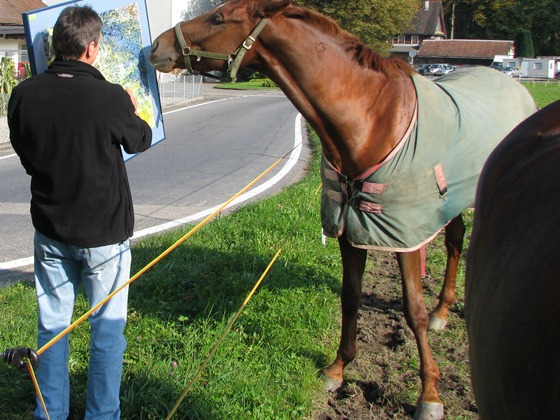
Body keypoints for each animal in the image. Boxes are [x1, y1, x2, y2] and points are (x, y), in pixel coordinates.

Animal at [151, 0, 536, 416]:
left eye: (219, 18)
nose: (156, 47)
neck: (373, 120)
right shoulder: (350, 230)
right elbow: (350, 296)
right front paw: (337, 369)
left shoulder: (404, 237)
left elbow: (412, 310)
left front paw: (430, 394)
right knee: (455, 238)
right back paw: (443, 313)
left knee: (456, 246)